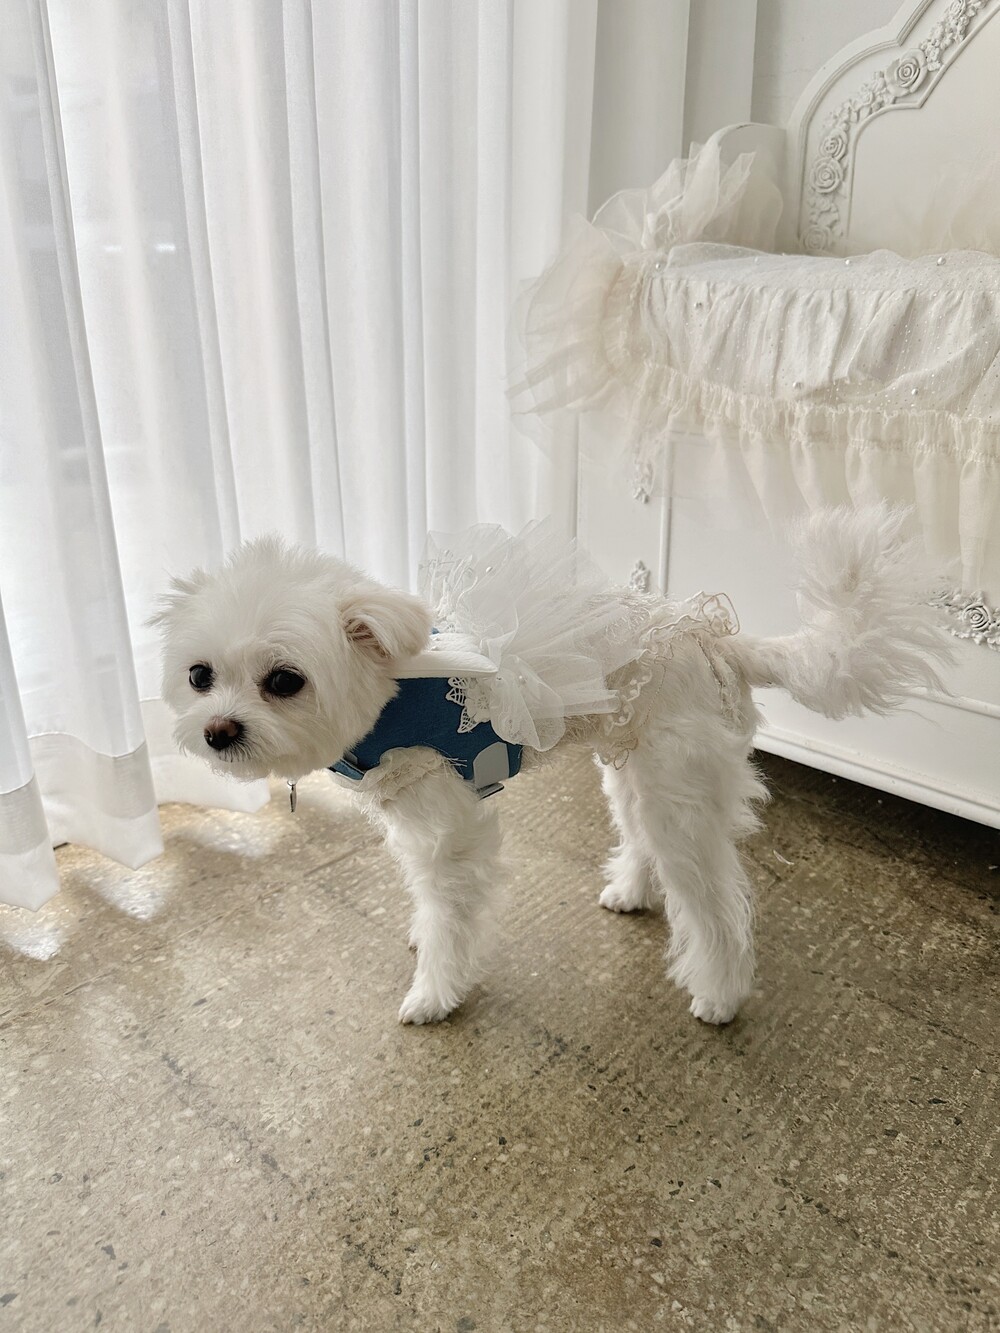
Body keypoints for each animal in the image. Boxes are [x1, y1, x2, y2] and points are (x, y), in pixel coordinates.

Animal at [154, 505, 949, 1027]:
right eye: (199, 676)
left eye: (284, 680)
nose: (218, 731)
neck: (386, 701)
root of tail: (715, 637)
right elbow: (426, 903)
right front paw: (421, 938)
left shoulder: (448, 831)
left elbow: (448, 916)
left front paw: (434, 992)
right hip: (633, 771)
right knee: (641, 839)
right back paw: (631, 890)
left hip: (678, 796)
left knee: (716, 907)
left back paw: (720, 995)